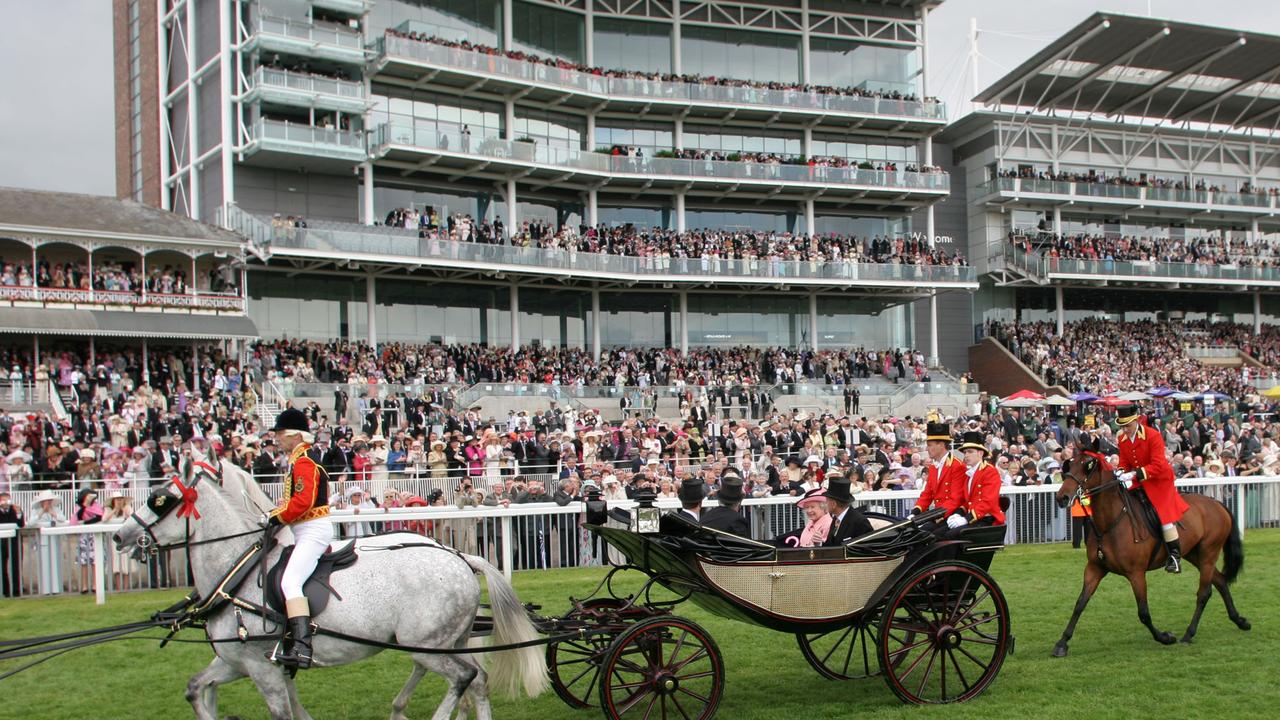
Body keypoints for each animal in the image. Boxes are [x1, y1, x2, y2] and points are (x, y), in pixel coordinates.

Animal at [1049, 438, 1249, 655]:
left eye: (1088, 465)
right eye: (1070, 464)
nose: (1062, 497)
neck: (1111, 522)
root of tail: (1217, 503)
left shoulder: (1136, 573)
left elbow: (1143, 612)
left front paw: (1165, 637)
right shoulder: (1095, 568)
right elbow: (1080, 603)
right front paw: (1062, 643)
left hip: (1208, 554)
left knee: (1204, 593)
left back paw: (1189, 634)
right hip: (1194, 554)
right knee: (1220, 581)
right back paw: (1239, 620)